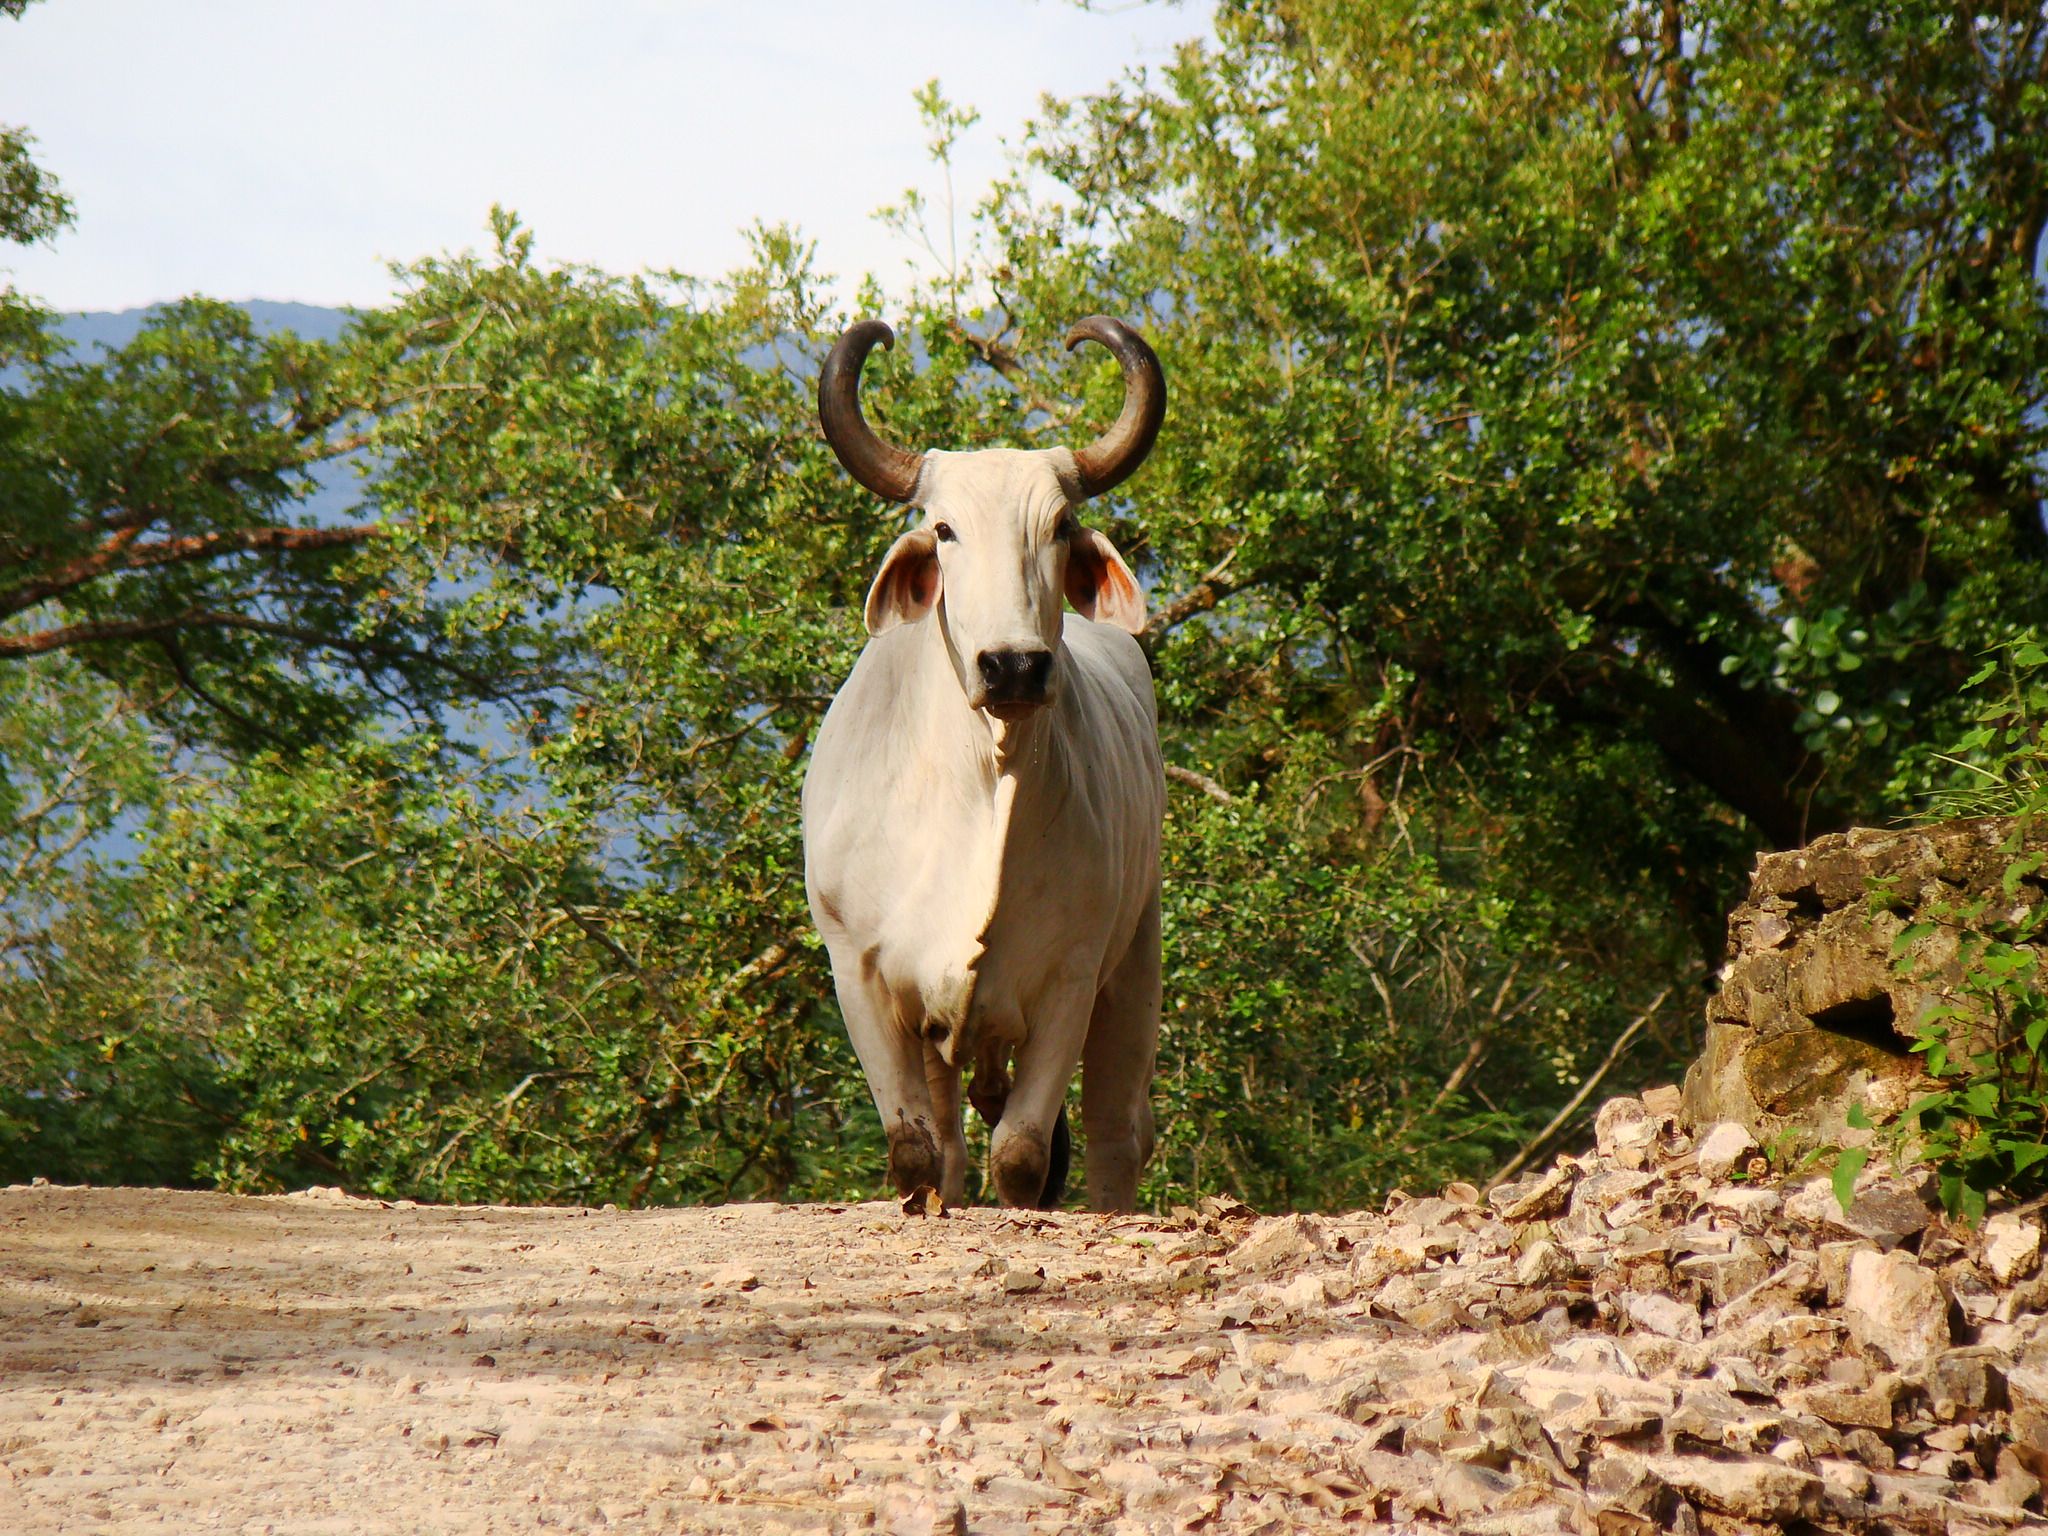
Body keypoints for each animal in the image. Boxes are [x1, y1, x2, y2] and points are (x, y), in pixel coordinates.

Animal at [798, 315, 1171, 1212]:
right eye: (944, 529)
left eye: (1060, 527)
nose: (1013, 668)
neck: (977, 784)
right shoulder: (861, 973)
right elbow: (916, 1149)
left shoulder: (1071, 977)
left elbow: (1025, 1157)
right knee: (954, 1134)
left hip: (1136, 958)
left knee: (1117, 1132)